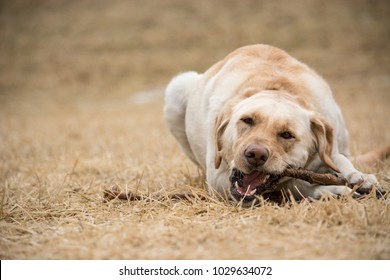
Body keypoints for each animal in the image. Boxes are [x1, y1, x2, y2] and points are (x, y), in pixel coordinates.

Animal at [165, 44, 386, 206]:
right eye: (247, 120)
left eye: (287, 134)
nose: (255, 154)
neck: (277, 88)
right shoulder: (218, 178)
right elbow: (295, 183)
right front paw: (331, 190)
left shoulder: (330, 144)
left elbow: (339, 159)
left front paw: (359, 176)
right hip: (176, 89)